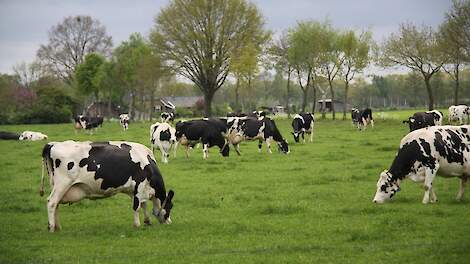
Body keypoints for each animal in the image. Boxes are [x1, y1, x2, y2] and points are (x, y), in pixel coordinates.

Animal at [40, 140, 174, 231]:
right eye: (170, 206)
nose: (169, 222)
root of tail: (52, 144)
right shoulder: (139, 183)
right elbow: (136, 206)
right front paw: (137, 225)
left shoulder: (136, 190)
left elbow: (143, 204)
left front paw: (147, 221)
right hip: (62, 183)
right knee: (51, 202)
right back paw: (51, 227)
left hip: (56, 185)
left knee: (56, 204)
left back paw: (58, 227)